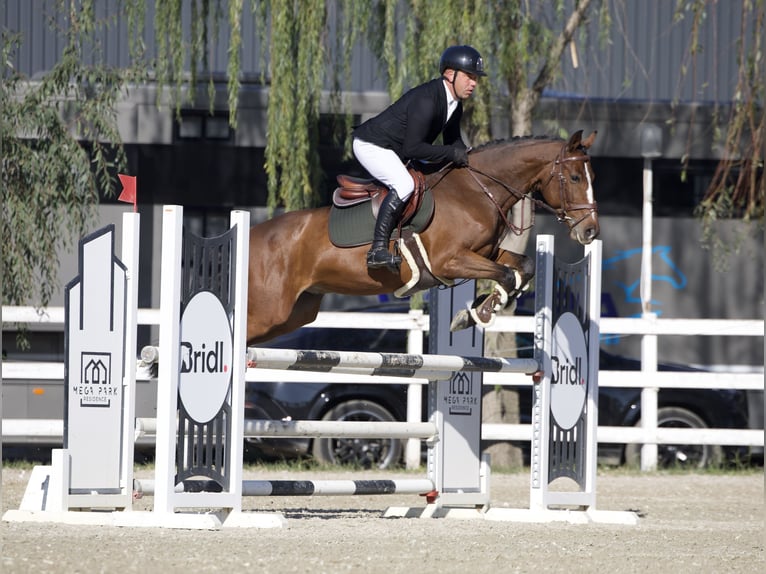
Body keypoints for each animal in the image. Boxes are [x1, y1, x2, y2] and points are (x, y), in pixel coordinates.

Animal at [248, 130, 600, 344]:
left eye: (592, 177)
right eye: (574, 177)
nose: (591, 231)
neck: (476, 191)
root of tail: (252, 234)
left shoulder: (485, 252)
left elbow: (522, 267)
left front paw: (479, 311)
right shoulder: (450, 261)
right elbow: (506, 275)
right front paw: (476, 314)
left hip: (295, 314)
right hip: (269, 311)